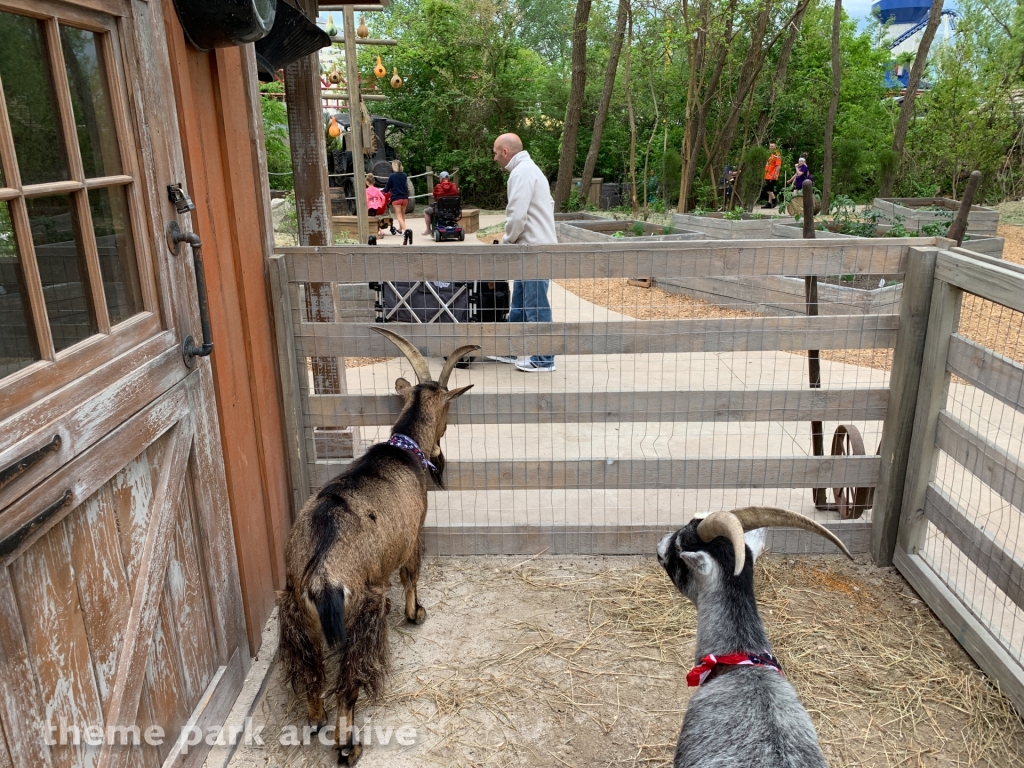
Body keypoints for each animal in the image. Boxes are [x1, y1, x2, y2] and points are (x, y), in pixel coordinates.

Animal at [276, 327, 475, 765]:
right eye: (449, 408)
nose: (441, 450)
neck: (403, 450)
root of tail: (321, 581)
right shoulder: (413, 534)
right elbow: (411, 575)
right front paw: (417, 613)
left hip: (293, 610)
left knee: (309, 669)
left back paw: (314, 718)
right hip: (362, 612)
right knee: (348, 684)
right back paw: (348, 745)